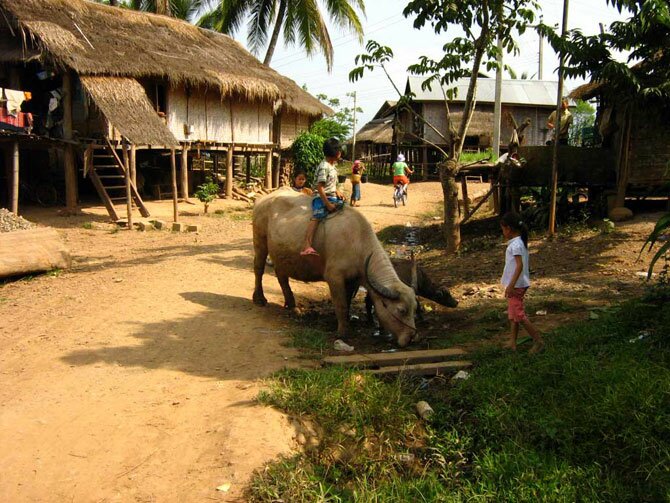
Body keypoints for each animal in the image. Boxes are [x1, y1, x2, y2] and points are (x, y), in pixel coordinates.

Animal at [255, 189, 418, 346]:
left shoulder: (353, 280)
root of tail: (264, 198)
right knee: (259, 268)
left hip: (281, 254)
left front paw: (344, 322)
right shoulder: (334, 277)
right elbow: (341, 304)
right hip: (260, 240)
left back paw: (292, 306)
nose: (411, 337)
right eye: (401, 310)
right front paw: (342, 332)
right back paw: (260, 299)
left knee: (281, 275)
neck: (357, 243)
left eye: (414, 308)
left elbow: (347, 302)